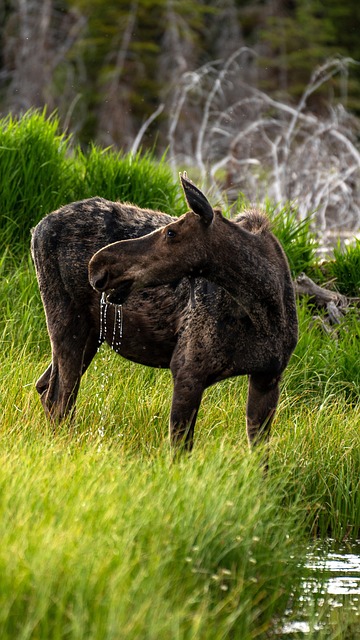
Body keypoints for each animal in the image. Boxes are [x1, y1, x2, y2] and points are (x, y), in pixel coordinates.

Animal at [31, 170, 296, 450]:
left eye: (171, 232)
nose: (97, 264)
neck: (263, 312)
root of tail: (38, 228)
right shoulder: (186, 371)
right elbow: (179, 449)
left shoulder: (268, 377)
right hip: (67, 320)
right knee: (59, 399)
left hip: (91, 333)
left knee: (46, 388)